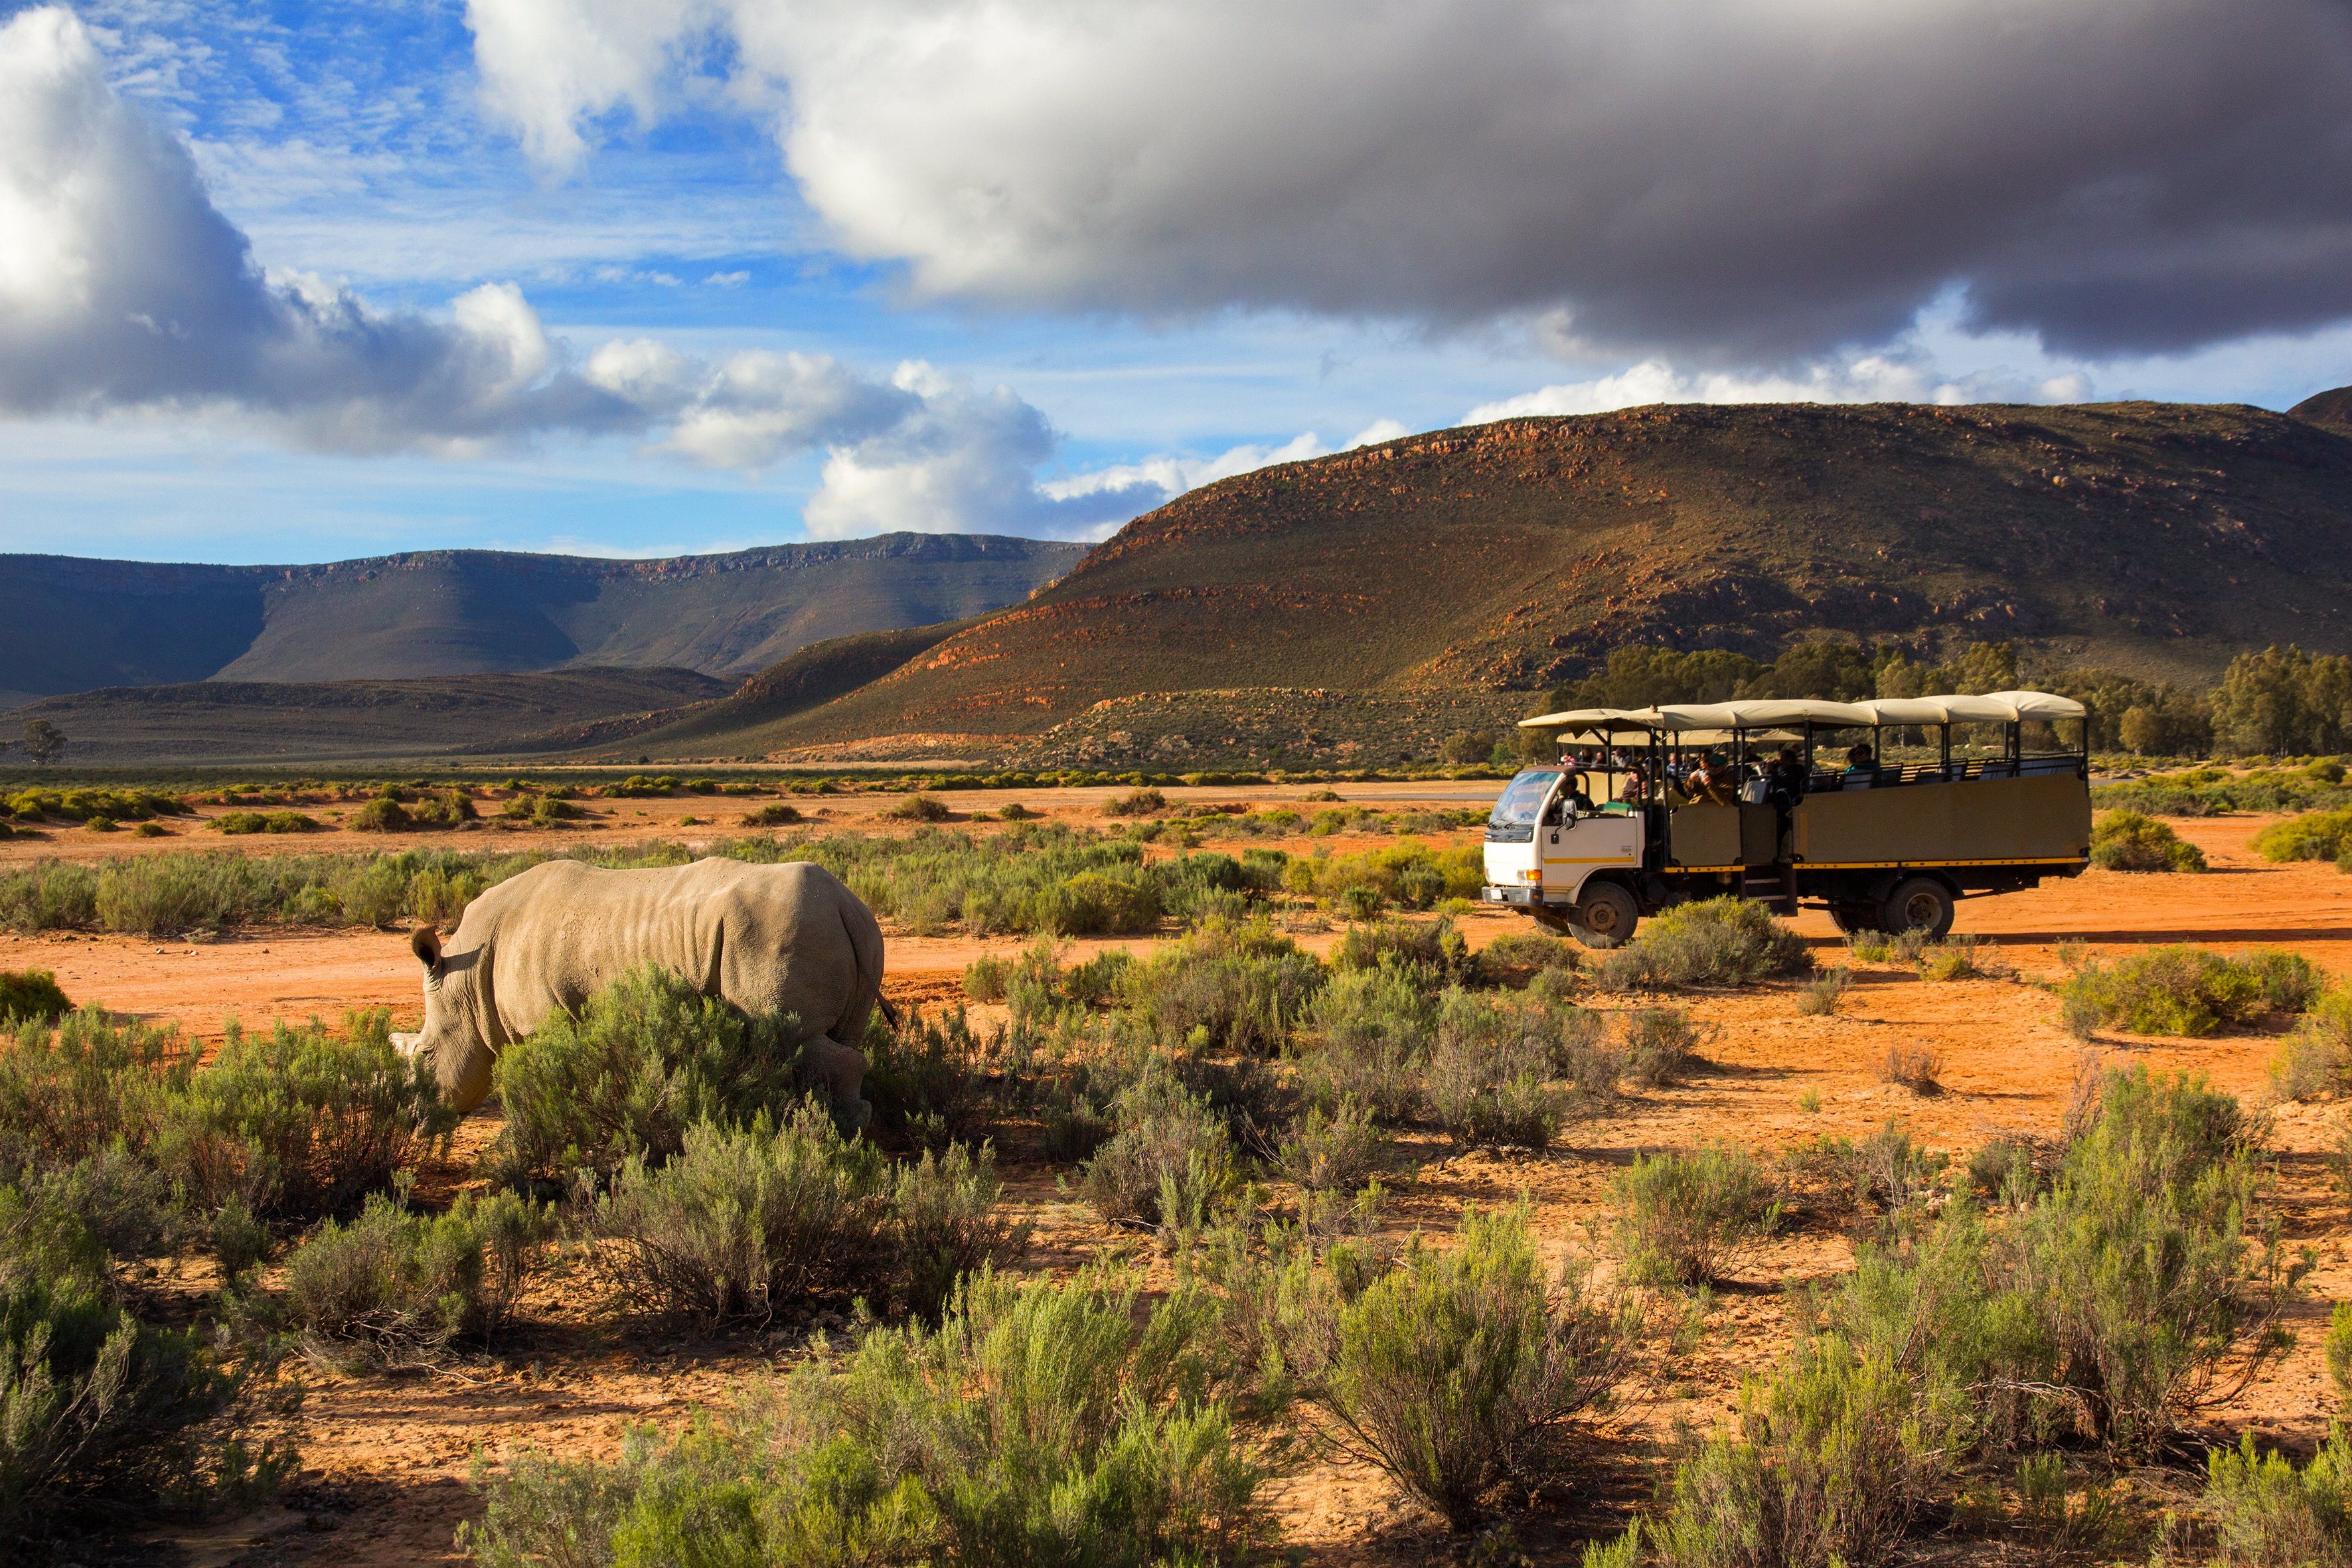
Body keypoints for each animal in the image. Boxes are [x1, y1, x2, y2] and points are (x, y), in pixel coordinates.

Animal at [390, 857, 886, 1125]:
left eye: (424, 1057)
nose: (413, 1121)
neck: (465, 982)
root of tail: (846, 904)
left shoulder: (540, 1022)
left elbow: (535, 1083)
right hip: (852, 932)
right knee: (837, 1038)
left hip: (778, 931)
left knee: (797, 1037)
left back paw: (841, 1135)